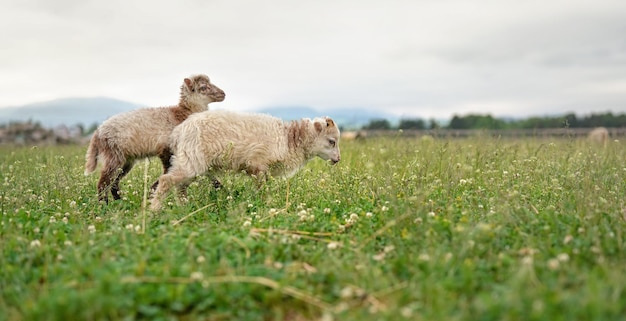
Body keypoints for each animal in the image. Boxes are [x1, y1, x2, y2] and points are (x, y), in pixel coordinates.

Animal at [84, 74, 225, 201]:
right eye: (203, 87)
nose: (223, 93)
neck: (181, 114)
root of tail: (97, 132)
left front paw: (221, 188)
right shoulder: (166, 150)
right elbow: (168, 171)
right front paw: (153, 191)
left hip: (126, 160)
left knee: (114, 183)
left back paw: (119, 202)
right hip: (113, 156)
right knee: (103, 183)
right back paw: (104, 205)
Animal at [148, 110, 338, 210]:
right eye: (332, 141)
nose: (337, 160)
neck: (289, 139)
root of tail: (179, 131)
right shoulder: (259, 165)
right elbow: (262, 190)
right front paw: (264, 204)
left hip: (190, 161)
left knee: (180, 186)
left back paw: (184, 207)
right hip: (191, 159)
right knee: (166, 181)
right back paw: (155, 209)